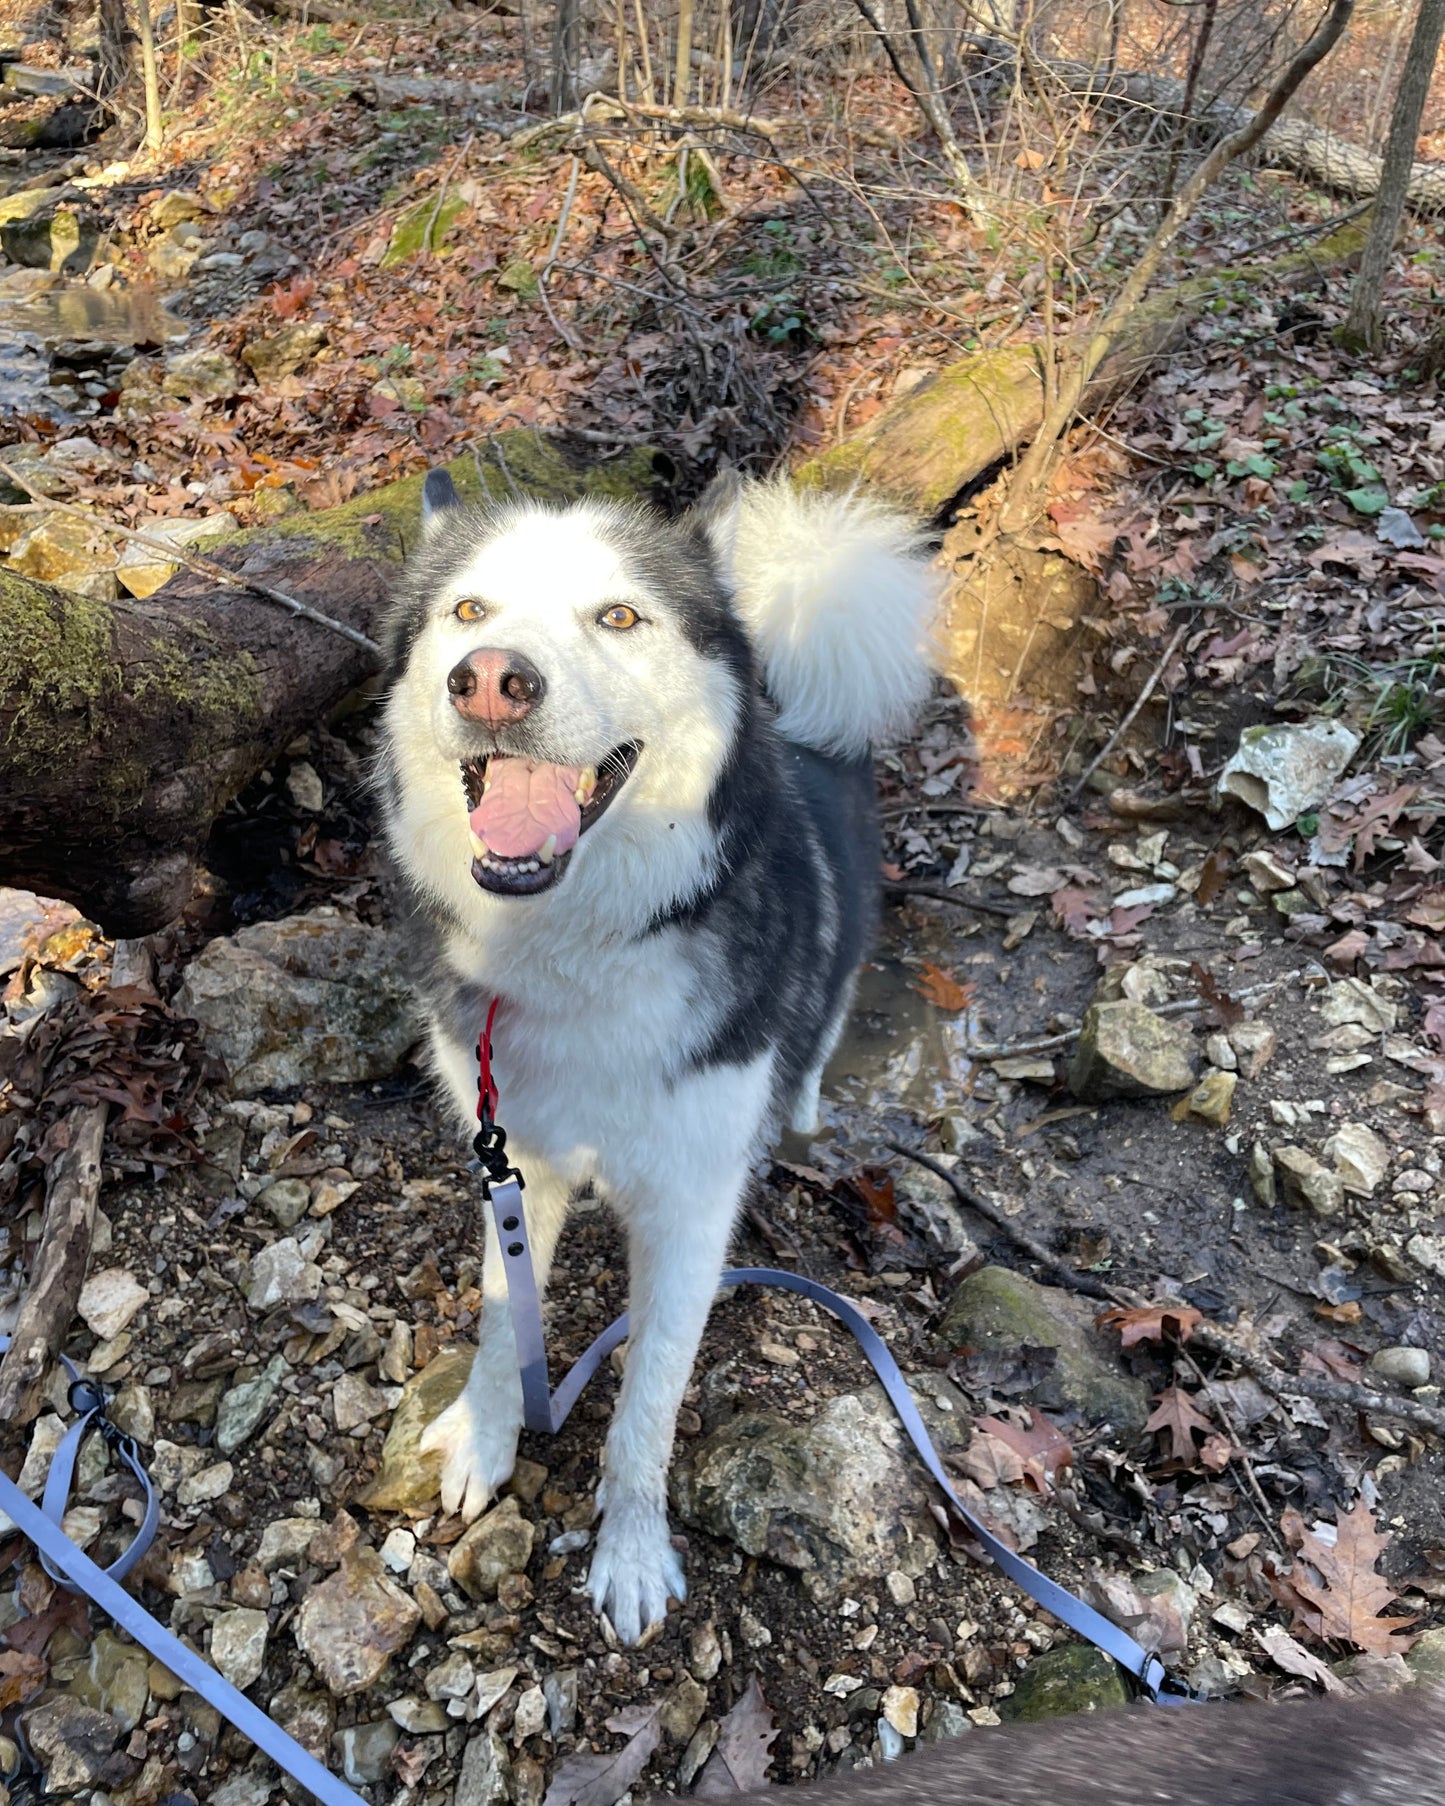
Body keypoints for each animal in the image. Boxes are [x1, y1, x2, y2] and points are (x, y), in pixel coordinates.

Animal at [375, 473, 939, 1647]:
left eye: (619, 616)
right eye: (467, 610)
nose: (489, 681)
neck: (584, 944)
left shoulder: (690, 1204)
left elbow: (651, 1397)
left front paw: (630, 1546)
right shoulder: (515, 1156)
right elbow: (500, 1317)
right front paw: (485, 1432)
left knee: (822, 1021)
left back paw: (799, 1107)